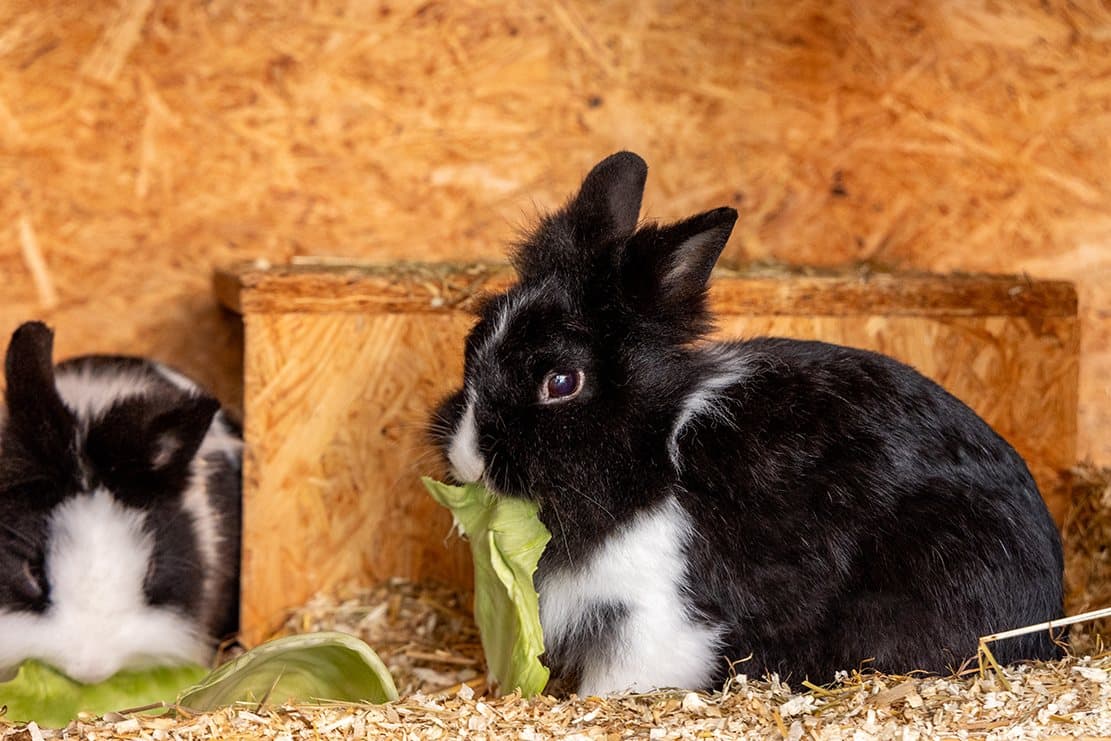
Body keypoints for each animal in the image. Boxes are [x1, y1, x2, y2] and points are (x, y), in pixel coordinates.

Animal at [430, 151, 1066, 697]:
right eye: (473, 341)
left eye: (561, 382)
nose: (466, 458)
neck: (652, 448)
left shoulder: (655, 611)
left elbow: (624, 677)